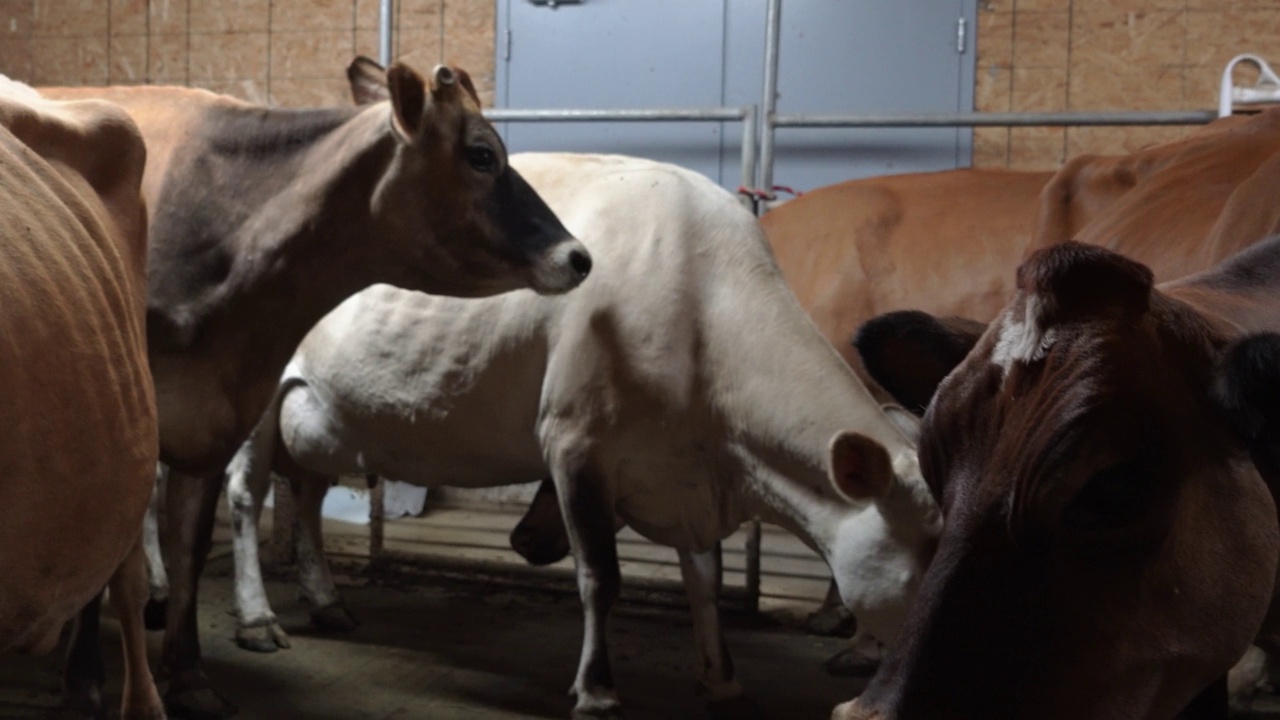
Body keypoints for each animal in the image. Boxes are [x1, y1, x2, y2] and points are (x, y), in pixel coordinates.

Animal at [43, 58, 593, 712]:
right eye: (482, 155)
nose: (580, 256)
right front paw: (85, 678)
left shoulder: (215, 417)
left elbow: (191, 545)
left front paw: (190, 677)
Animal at [222, 152, 942, 717]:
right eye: (930, 554)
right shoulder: (575, 441)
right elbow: (600, 575)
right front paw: (597, 691)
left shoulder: (685, 466)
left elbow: (705, 580)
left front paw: (722, 679)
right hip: (253, 398)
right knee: (246, 495)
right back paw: (257, 618)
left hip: (317, 418)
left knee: (307, 493)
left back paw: (326, 602)